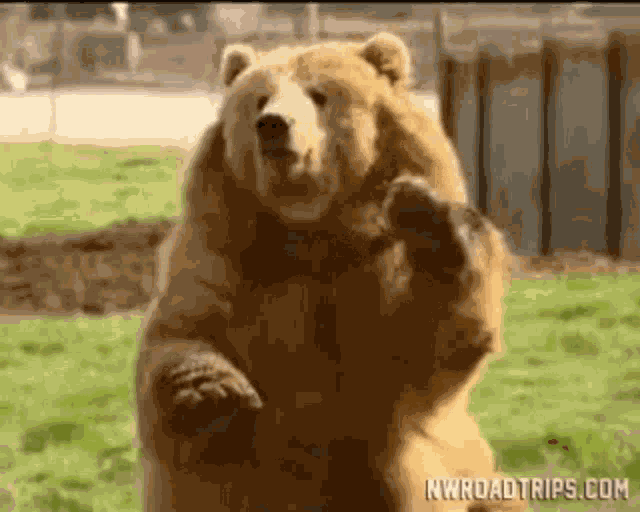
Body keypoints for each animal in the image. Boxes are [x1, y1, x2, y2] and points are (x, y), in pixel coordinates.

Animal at [135, 32, 527, 512]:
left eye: (319, 94)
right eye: (258, 98)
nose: (273, 125)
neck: (310, 232)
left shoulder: (371, 268)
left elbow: (417, 349)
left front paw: (436, 232)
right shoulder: (223, 249)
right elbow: (183, 327)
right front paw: (211, 395)